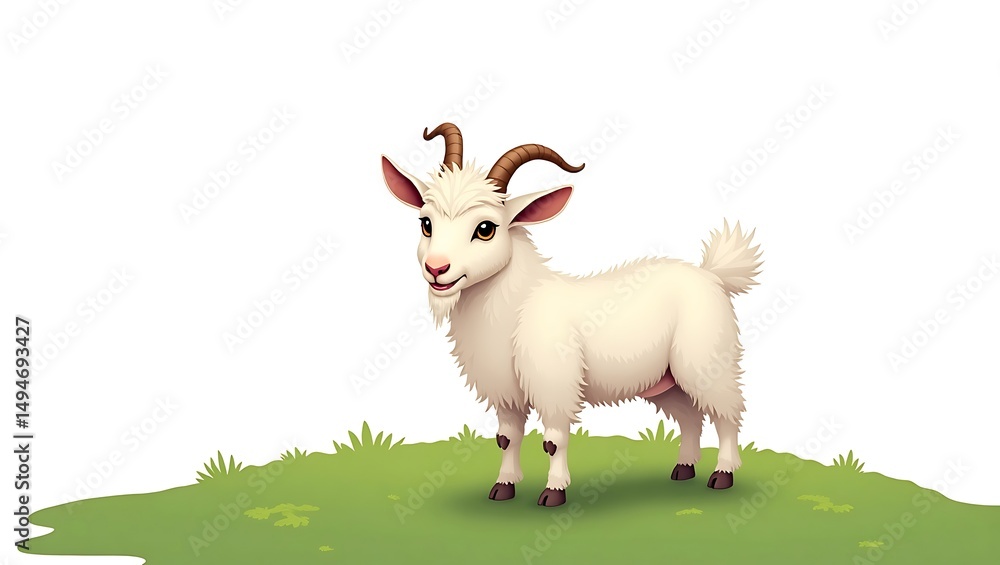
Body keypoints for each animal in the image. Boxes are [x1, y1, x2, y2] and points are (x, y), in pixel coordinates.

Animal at [382, 123, 762, 507]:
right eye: (426, 223)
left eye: (485, 228)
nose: (436, 269)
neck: (517, 304)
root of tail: (714, 274)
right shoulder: (505, 391)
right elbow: (506, 438)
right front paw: (503, 487)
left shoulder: (554, 384)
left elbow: (553, 441)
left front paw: (553, 492)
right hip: (665, 381)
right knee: (690, 417)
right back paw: (684, 468)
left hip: (707, 361)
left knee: (728, 413)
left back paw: (722, 474)